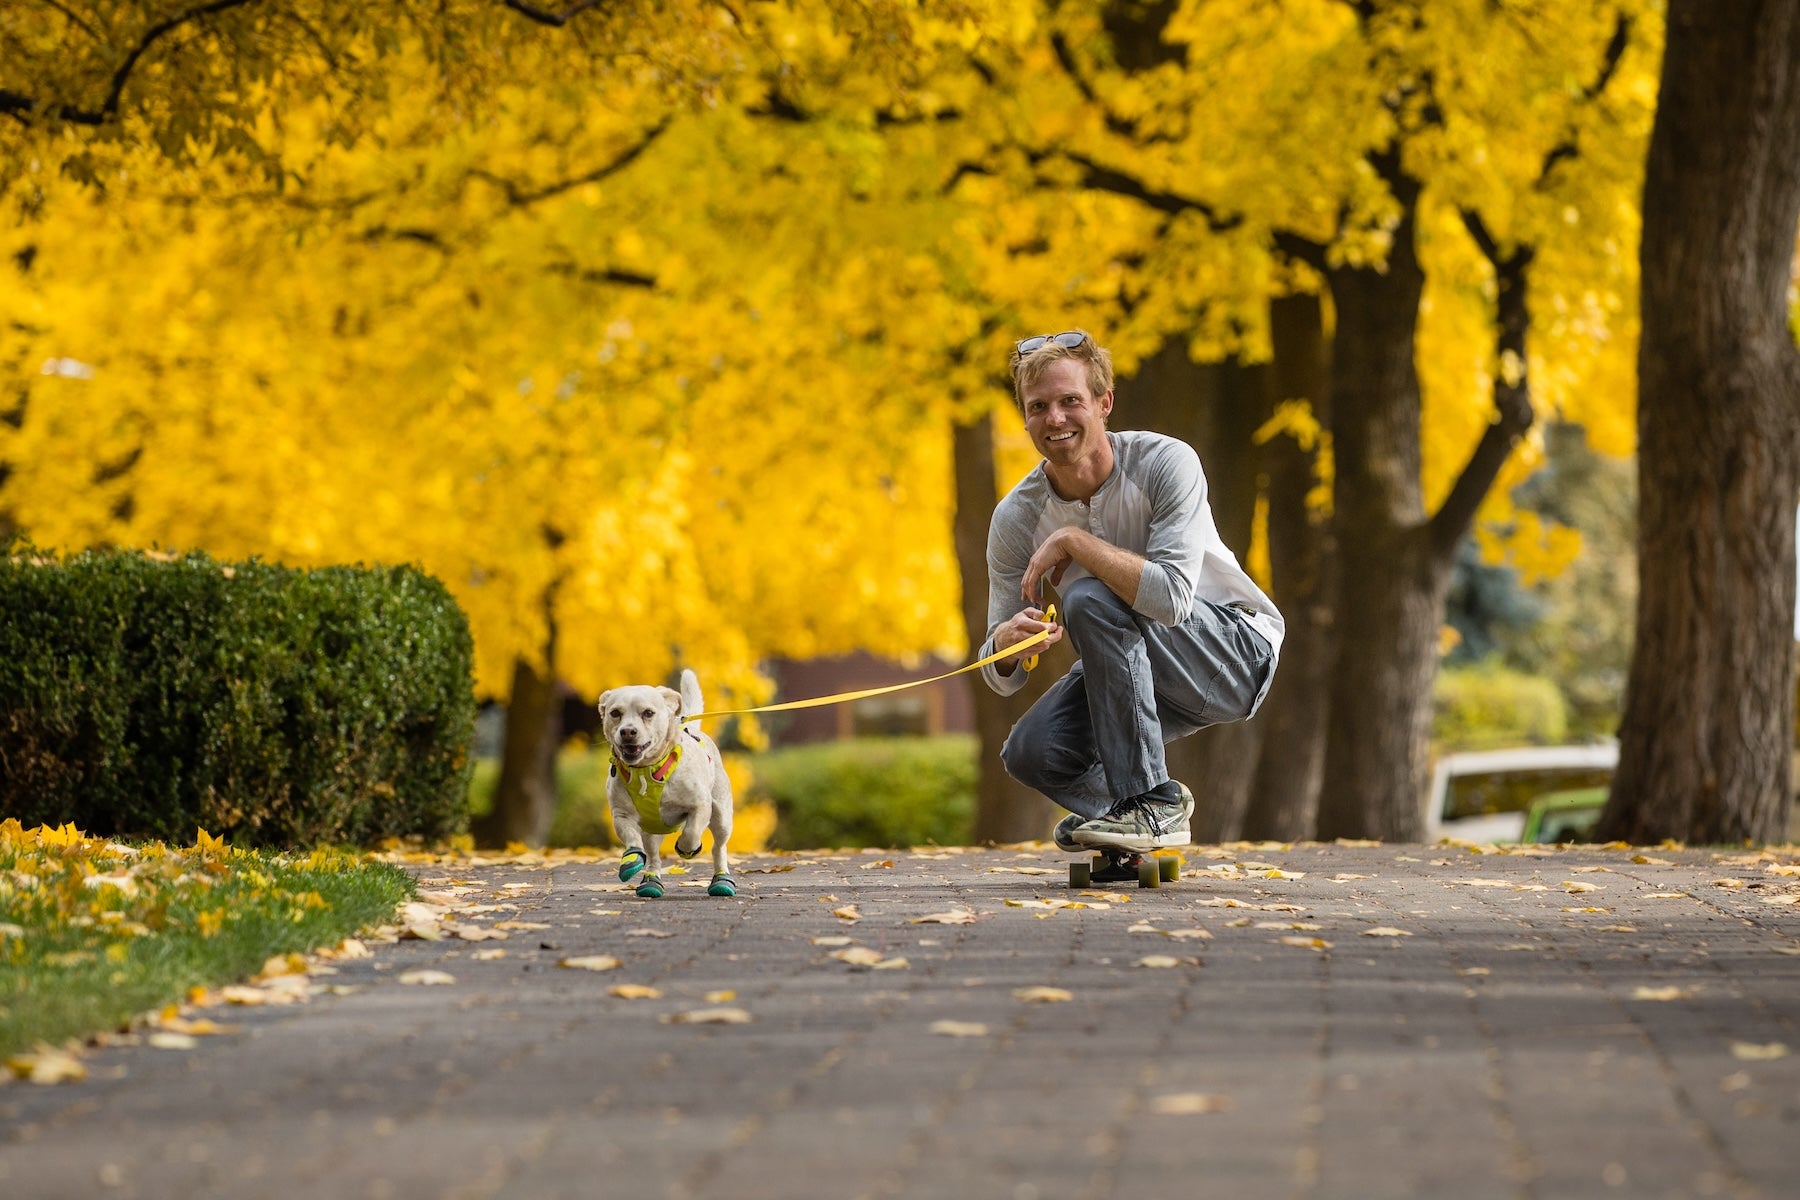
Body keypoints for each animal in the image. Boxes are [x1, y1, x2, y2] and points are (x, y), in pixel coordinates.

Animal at [601, 672, 734, 895]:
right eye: (615, 713)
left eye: (648, 713)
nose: (627, 731)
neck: (646, 771)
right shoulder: (621, 813)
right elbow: (630, 836)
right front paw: (631, 859)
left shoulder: (700, 806)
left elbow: (691, 832)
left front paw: (687, 848)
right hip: (652, 829)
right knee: (653, 856)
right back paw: (651, 881)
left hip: (722, 816)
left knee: (719, 848)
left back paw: (722, 880)